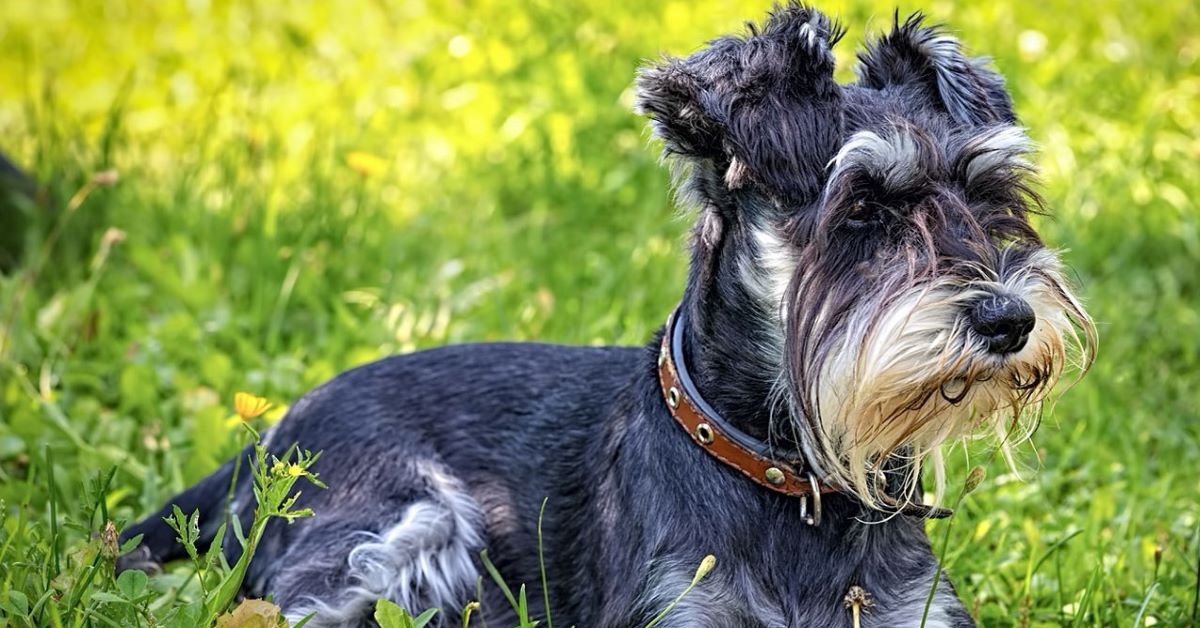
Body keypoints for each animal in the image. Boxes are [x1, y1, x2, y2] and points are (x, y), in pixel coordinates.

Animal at [119, 3, 1099, 624]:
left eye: (993, 196)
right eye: (863, 208)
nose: (1009, 320)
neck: (789, 478)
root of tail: (271, 436)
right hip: (402, 527)